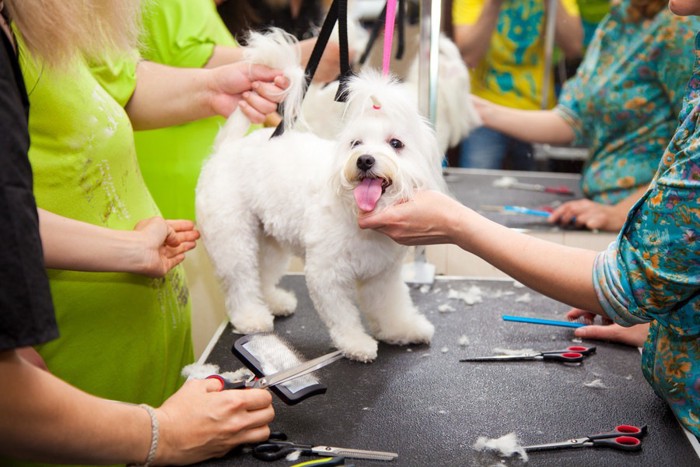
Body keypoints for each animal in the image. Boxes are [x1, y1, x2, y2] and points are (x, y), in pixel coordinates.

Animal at [197, 31, 448, 364]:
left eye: (396, 143)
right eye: (356, 143)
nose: (364, 160)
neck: (356, 214)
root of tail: (227, 148)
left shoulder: (383, 275)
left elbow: (389, 305)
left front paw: (402, 329)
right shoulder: (327, 274)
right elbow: (342, 316)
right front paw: (356, 343)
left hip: (269, 240)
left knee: (262, 273)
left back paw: (274, 301)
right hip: (231, 236)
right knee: (240, 280)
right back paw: (252, 316)